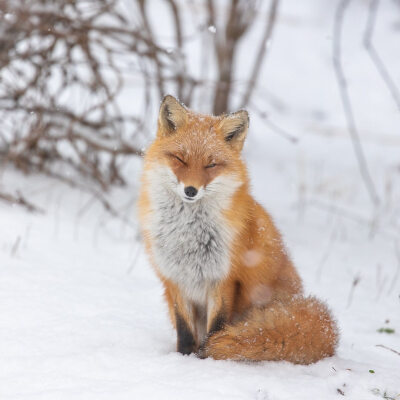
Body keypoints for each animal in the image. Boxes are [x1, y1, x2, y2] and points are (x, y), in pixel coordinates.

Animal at [138, 95, 338, 364]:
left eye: (211, 165)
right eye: (180, 159)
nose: (190, 190)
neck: (188, 234)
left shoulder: (224, 279)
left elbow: (216, 328)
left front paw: (207, 358)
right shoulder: (176, 279)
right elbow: (185, 331)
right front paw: (184, 358)